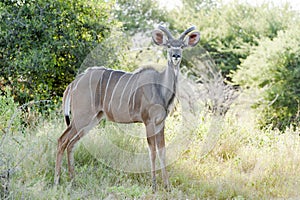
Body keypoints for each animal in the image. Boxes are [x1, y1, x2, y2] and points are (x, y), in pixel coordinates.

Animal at [54, 25, 199, 191]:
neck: (160, 87)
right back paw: (57, 181)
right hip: (82, 117)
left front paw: (167, 186)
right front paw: (154, 185)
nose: (176, 56)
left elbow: (162, 151)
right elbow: (152, 151)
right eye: (168, 46)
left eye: (181, 46)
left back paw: (73, 181)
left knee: (71, 144)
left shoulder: (160, 123)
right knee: (62, 140)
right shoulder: (148, 121)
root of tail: (74, 83)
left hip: (92, 120)